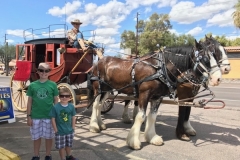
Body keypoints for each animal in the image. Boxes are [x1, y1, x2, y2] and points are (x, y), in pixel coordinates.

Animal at [88, 39, 221, 149]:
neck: (160, 68)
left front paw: (152, 137)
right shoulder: (144, 94)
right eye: (206, 59)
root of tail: (99, 62)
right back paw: (94, 126)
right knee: (95, 105)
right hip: (98, 89)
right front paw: (134, 141)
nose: (218, 78)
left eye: (216, 56)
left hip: (106, 90)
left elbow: (152, 116)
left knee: (100, 105)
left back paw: (100, 124)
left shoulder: (157, 97)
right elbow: (141, 116)